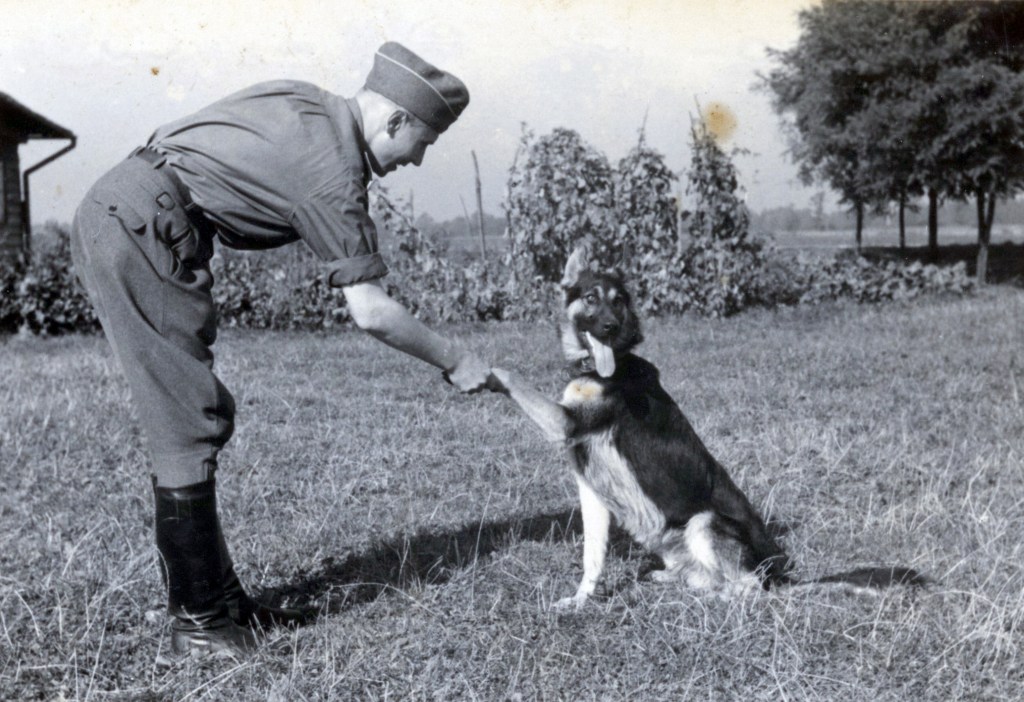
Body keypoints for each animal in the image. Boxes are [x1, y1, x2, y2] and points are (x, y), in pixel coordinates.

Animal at [483, 247, 925, 609]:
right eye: (591, 298)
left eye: (619, 302)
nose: (609, 328)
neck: (604, 366)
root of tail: (780, 577)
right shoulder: (591, 491)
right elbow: (592, 557)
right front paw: (579, 600)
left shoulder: (565, 421)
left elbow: (511, 375)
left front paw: (484, 372)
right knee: (703, 579)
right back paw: (668, 580)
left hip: (704, 522)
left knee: (746, 590)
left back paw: (717, 597)